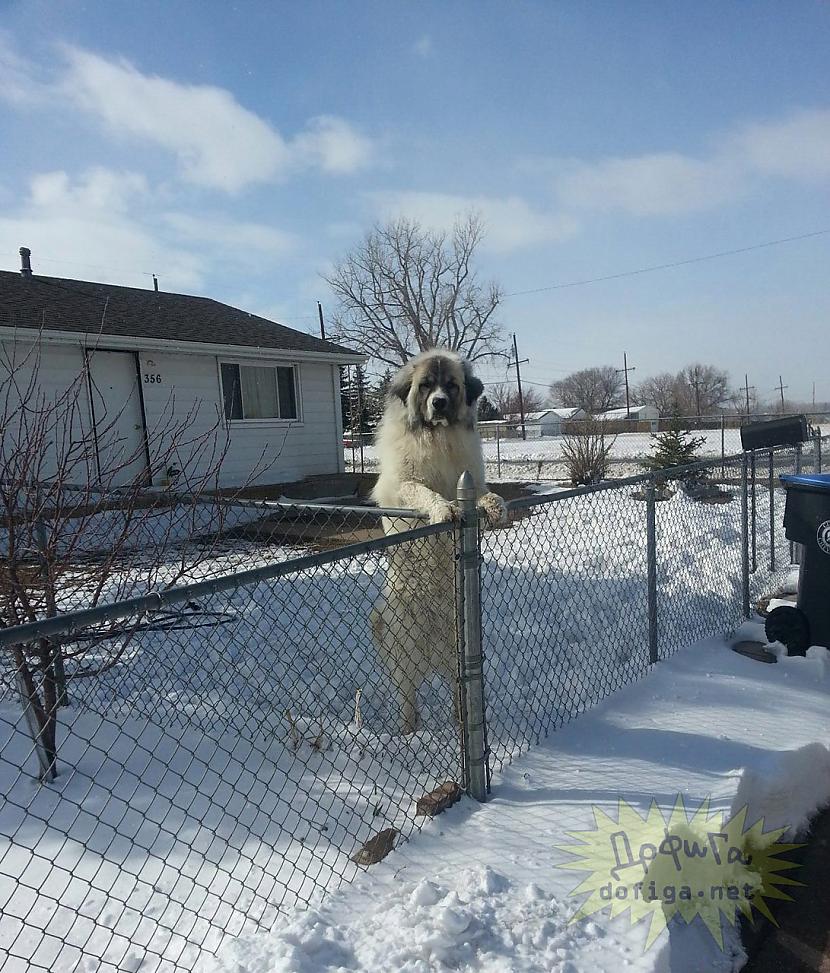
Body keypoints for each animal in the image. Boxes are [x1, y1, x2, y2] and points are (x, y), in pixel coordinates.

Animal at [370, 350, 508, 728]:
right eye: (426, 386)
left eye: (451, 385)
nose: (440, 403)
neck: (438, 439)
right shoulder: (404, 485)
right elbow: (423, 492)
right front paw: (443, 509)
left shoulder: (470, 479)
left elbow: (485, 494)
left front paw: (496, 506)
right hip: (398, 639)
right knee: (408, 698)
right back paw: (409, 732)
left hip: (459, 651)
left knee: (456, 691)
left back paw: (460, 720)